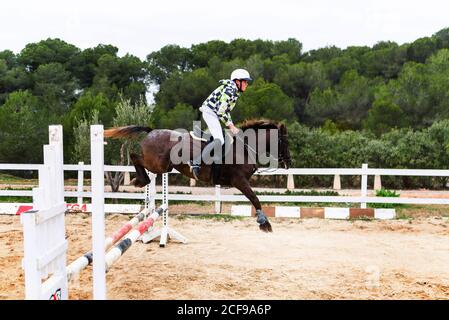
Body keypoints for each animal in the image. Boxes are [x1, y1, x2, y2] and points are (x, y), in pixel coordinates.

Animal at [103, 119, 292, 231]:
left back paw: (140, 180)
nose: (289, 163)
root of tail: (152, 131)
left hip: (162, 167)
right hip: (157, 165)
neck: (244, 148)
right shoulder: (239, 180)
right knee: (135, 157)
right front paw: (264, 223)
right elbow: (254, 198)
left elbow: (254, 198)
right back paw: (141, 179)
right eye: (285, 141)